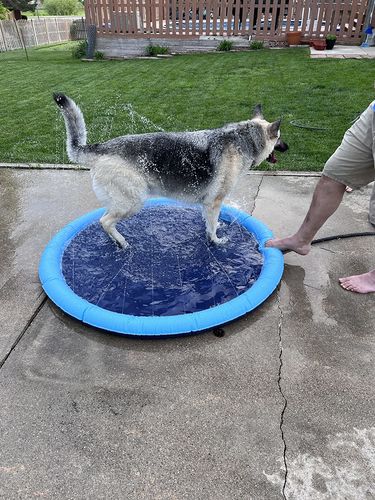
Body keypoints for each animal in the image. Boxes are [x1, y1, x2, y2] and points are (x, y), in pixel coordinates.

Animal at [53, 92, 288, 248]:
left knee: (104, 220)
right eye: (279, 138)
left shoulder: (207, 204)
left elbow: (209, 222)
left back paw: (115, 241)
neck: (245, 138)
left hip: (123, 201)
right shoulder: (214, 202)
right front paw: (216, 241)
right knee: (105, 222)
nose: (288, 147)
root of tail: (101, 148)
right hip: (133, 202)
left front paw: (215, 229)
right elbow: (211, 227)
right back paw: (122, 243)